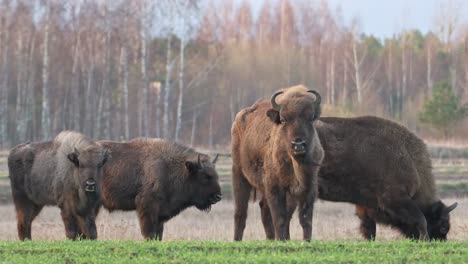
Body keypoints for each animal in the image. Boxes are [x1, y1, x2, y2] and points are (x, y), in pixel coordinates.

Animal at [231, 85, 326, 240]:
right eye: (283, 119)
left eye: (310, 118)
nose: (298, 145)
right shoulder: (275, 188)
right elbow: (280, 218)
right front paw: (281, 239)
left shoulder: (309, 189)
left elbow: (304, 220)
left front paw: (305, 241)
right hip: (239, 174)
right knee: (240, 212)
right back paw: (237, 240)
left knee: (265, 210)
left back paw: (271, 238)